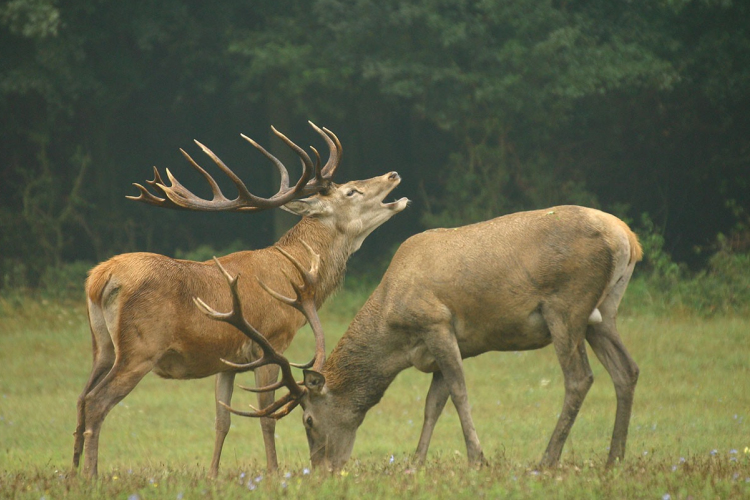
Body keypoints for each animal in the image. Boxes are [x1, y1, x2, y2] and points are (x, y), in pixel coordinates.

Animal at [71, 121, 412, 476]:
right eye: (351, 192)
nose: (393, 174)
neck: (295, 274)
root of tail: (102, 277)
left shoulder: (227, 359)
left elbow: (222, 420)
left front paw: (212, 475)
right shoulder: (272, 341)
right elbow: (267, 418)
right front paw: (273, 472)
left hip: (103, 346)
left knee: (80, 399)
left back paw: (72, 474)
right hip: (140, 349)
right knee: (96, 402)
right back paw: (91, 476)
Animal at [217, 205, 648, 470]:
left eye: (307, 420)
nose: (322, 467)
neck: (393, 332)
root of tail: (627, 238)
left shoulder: (437, 323)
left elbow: (458, 393)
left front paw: (477, 459)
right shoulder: (443, 346)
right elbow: (433, 403)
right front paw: (415, 462)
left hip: (565, 306)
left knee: (580, 378)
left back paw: (547, 459)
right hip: (603, 314)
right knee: (627, 370)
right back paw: (614, 458)